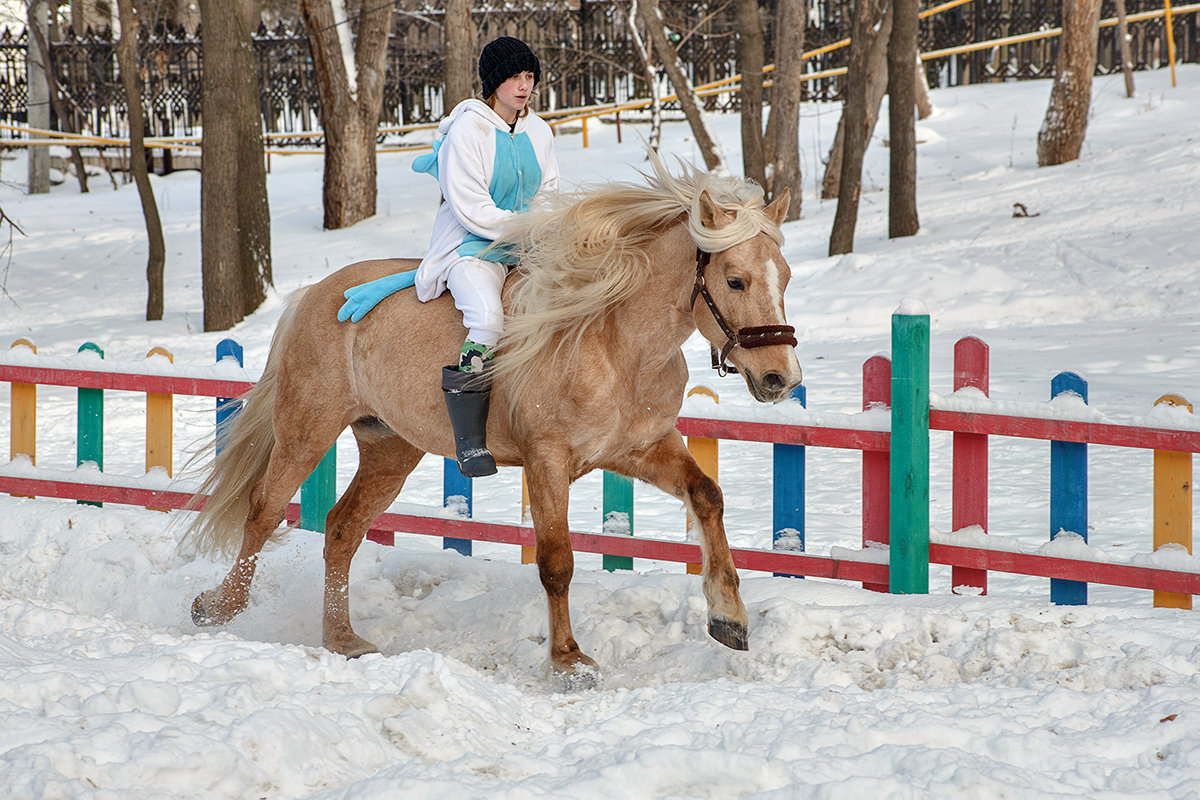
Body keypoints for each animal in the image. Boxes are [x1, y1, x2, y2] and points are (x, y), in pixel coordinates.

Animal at [187, 158, 801, 681]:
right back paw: (220, 607)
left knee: (341, 529)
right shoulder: (546, 460)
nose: (780, 378)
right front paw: (568, 659)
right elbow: (556, 561)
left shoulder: (642, 449)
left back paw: (341, 637)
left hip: (391, 449)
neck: (614, 341)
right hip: (307, 429)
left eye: (786, 276)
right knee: (263, 512)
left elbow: (707, 497)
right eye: (735, 280)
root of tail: (315, 294)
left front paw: (729, 618)